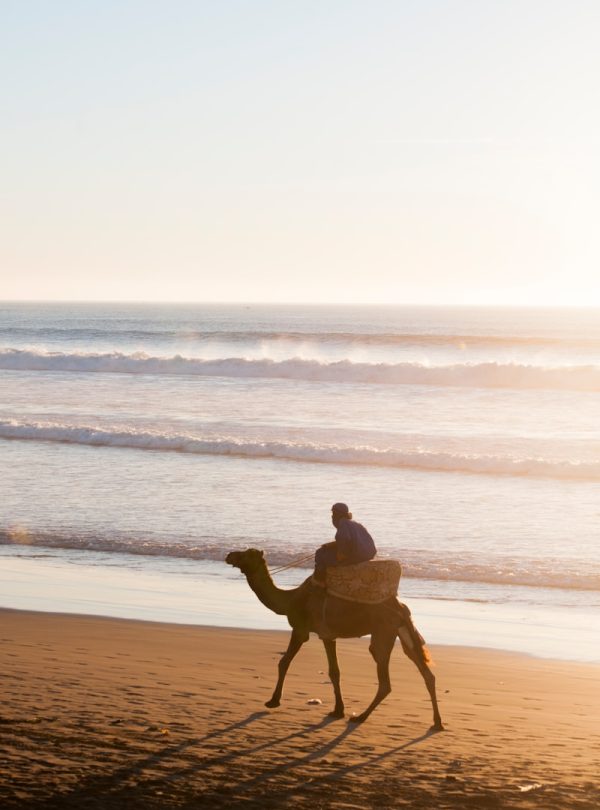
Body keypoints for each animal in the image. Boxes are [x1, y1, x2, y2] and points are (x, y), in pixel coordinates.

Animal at [226, 549, 443, 730]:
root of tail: (400, 607)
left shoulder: (302, 629)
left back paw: (361, 716)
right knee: (426, 673)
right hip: (402, 633)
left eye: (247, 554)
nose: (229, 555)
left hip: (383, 633)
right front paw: (338, 710)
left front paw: (273, 701)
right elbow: (334, 671)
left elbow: (284, 662)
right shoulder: (328, 635)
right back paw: (437, 723)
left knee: (385, 679)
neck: (290, 600)